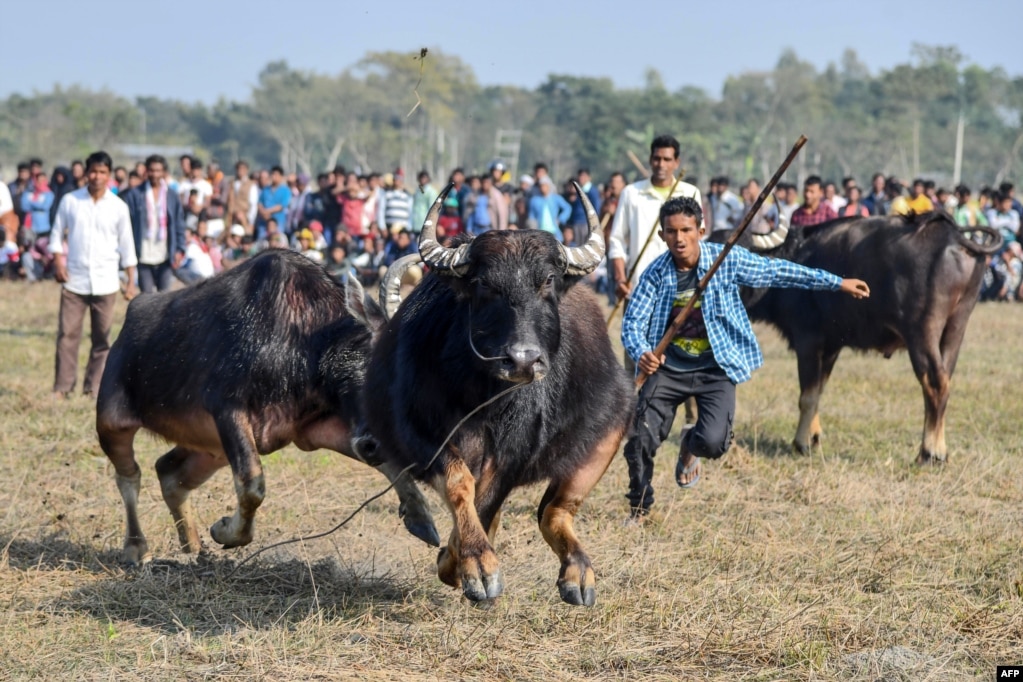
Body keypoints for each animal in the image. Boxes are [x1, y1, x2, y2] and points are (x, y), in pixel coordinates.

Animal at [96, 250, 443, 564]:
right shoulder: (228, 410)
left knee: (168, 472)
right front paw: (225, 531)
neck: (304, 341)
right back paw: (136, 549)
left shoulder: (313, 430)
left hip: (210, 450)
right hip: (112, 423)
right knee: (129, 476)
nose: (375, 443)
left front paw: (421, 518)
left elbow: (392, 466)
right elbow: (252, 484)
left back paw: (193, 545)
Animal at [358, 184, 630, 605]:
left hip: (607, 436)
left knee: (554, 511)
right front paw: (473, 565)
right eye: (484, 284)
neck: (484, 398)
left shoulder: (515, 454)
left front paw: (463, 564)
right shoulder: (420, 433)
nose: (522, 359)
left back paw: (578, 576)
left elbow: (486, 504)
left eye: (548, 280)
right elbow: (460, 485)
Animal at [732, 209, 1002, 464]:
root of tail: (954, 237)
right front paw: (815, 437)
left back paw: (929, 452)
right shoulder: (831, 347)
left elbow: (806, 396)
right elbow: (818, 391)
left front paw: (801, 443)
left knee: (935, 383)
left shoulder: (808, 341)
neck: (794, 256)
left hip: (922, 331)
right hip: (957, 325)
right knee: (946, 380)